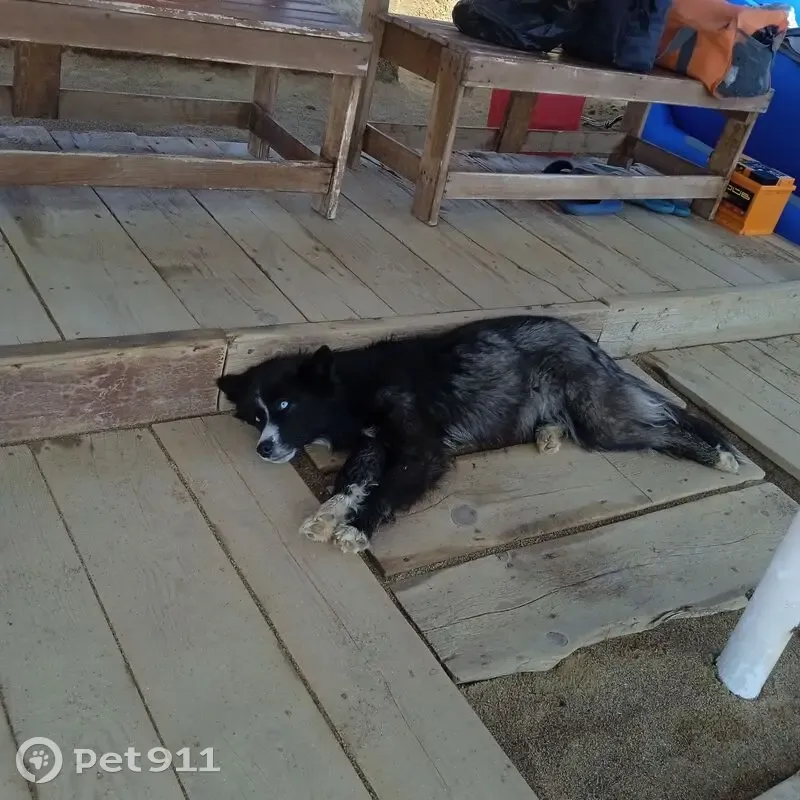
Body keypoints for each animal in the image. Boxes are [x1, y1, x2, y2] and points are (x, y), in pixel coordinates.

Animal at [217, 315, 740, 554]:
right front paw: (327, 516)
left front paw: (355, 529)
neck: (354, 388)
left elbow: (385, 491)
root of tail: (584, 339)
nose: (263, 449)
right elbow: (349, 483)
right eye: (255, 417)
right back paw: (548, 435)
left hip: (604, 423)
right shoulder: (372, 445)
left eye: (285, 407)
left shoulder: (421, 452)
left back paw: (717, 457)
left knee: (664, 426)